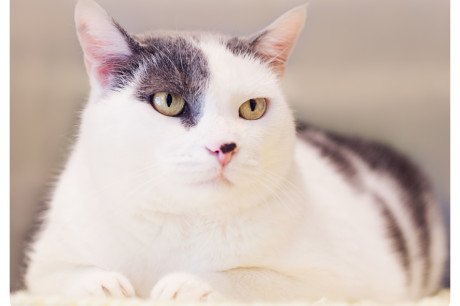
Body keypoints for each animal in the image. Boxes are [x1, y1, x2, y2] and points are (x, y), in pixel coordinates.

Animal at [23, 0, 448, 302]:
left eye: (252, 108)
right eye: (168, 101)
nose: (223, 147)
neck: (182, 222)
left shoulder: (331, 283)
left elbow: (254, 279)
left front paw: (190, 284)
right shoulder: (44, 261)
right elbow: (58, 275)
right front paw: (105, 286)